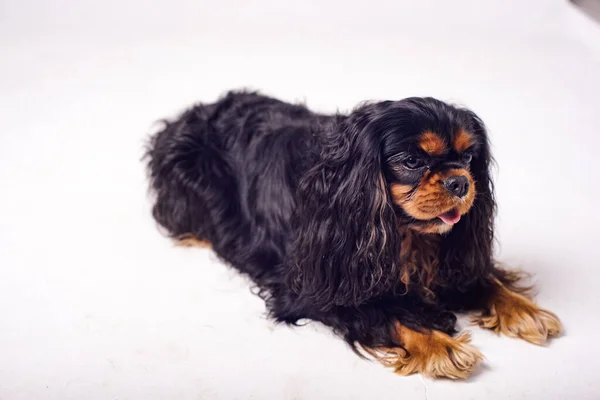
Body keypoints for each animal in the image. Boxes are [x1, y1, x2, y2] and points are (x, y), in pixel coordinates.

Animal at [145, 90, 564, 378]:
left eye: (466, 158)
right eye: (412, 162)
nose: (461, 182)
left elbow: (484, 280)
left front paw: (524, 311)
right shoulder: (313, 285)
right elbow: (386, 313)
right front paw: (440, 346)